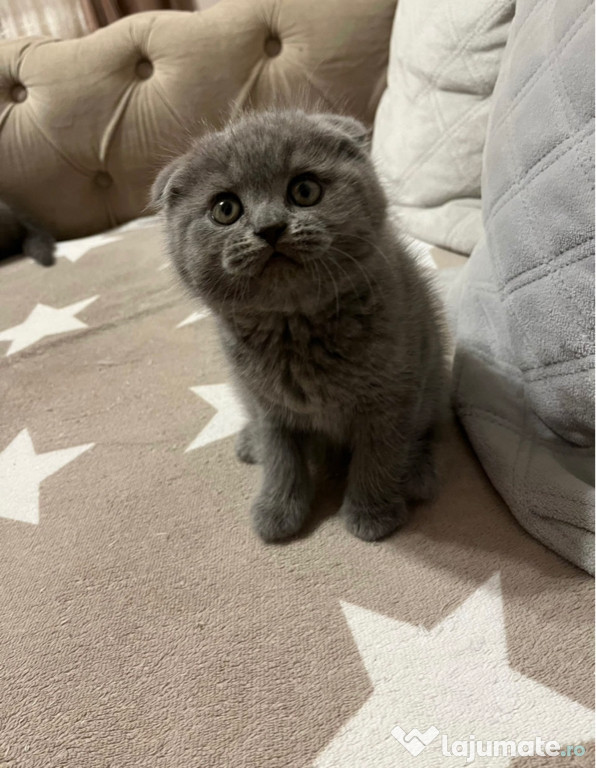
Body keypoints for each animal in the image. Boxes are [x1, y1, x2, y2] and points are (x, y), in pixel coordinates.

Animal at [154, 109, 448, 540]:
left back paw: (418, 474)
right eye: (225, 209)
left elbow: (378, 453)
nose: (270, 228)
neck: (295, 326)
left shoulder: (394, 394)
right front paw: (277, 511)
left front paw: (371, 513)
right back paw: (250, 443)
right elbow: (281, 458)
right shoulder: (267, 404)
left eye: (305, 190)